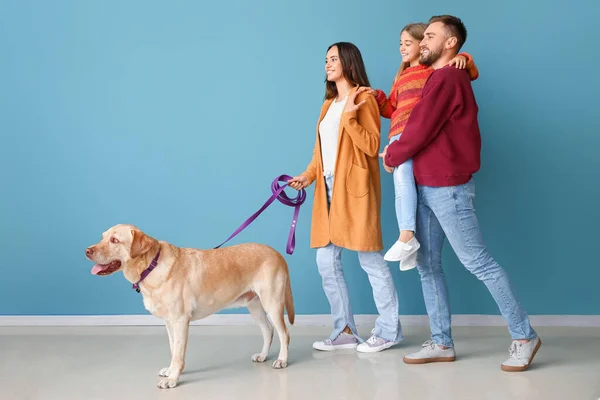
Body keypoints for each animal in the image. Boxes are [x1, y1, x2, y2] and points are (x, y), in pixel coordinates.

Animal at [85, 223, 296, 390]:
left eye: (114, 240)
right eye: (103, 237)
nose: (87, 251)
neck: (151, 266)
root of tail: (277, 254)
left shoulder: (180, 320)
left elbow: (178, 353)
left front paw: (172, 379)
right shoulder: (169, 322)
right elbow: (173, 348)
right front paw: (171, 371)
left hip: (272, 302)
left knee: (284, 333)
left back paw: (282, 360)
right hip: (255, 305)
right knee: (268, 330)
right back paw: (263, 355)